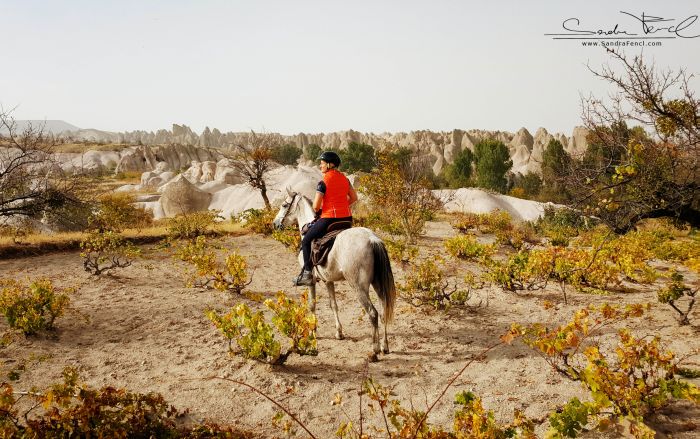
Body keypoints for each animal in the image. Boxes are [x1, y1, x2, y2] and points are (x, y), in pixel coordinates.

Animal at [272, 189, 396, 358]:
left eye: (284, 205)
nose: (275, 224)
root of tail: (372, 239)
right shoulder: (328, 281)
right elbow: (334, 305)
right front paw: (339, 333)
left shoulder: (311, 282)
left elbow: (312, 305)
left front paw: (312, 333)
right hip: (377, 284)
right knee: (383, 311)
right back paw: (385, 346)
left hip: (359, 287)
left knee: (373, 313)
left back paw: (374, 349)